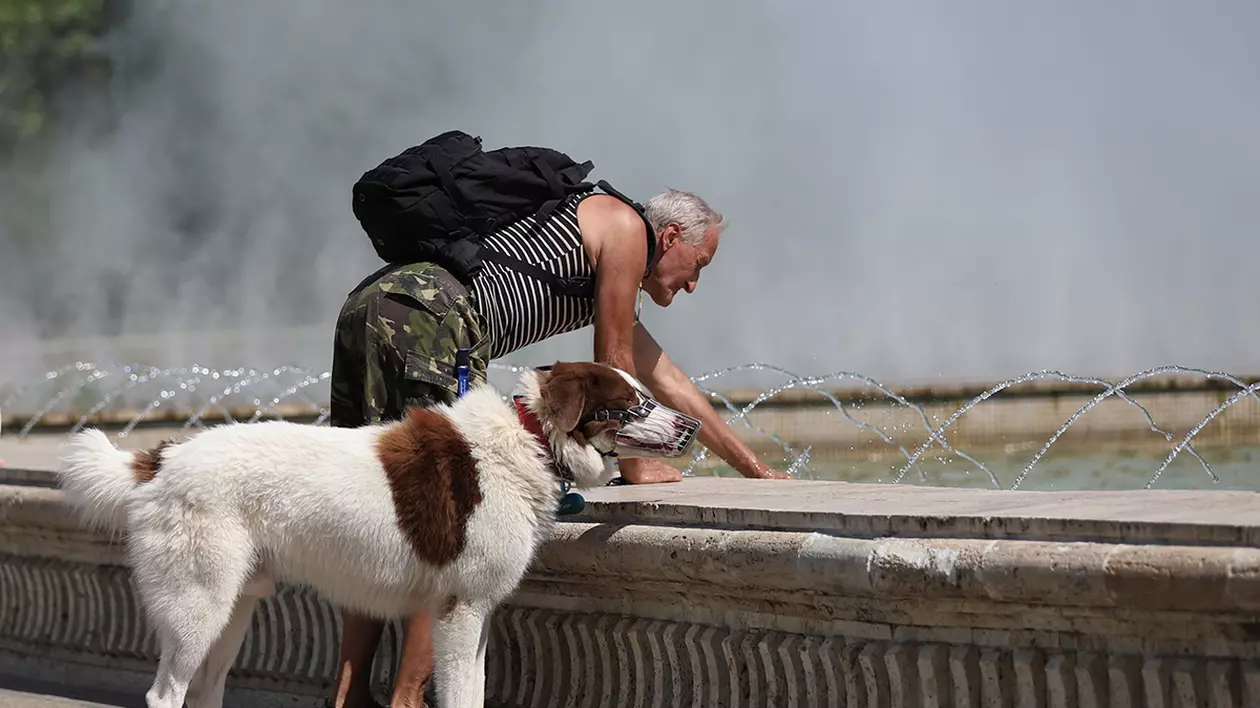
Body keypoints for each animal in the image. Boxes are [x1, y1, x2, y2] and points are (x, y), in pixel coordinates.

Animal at [54, 360, 700, 700]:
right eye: (633, 403)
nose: (691, 425)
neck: (531, 437)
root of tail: (161, 457)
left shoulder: (477, 613)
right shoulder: (458, 611)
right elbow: (459, 694)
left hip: (233, 605)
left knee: (206, 689)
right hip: (198, 602)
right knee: (165, 693)